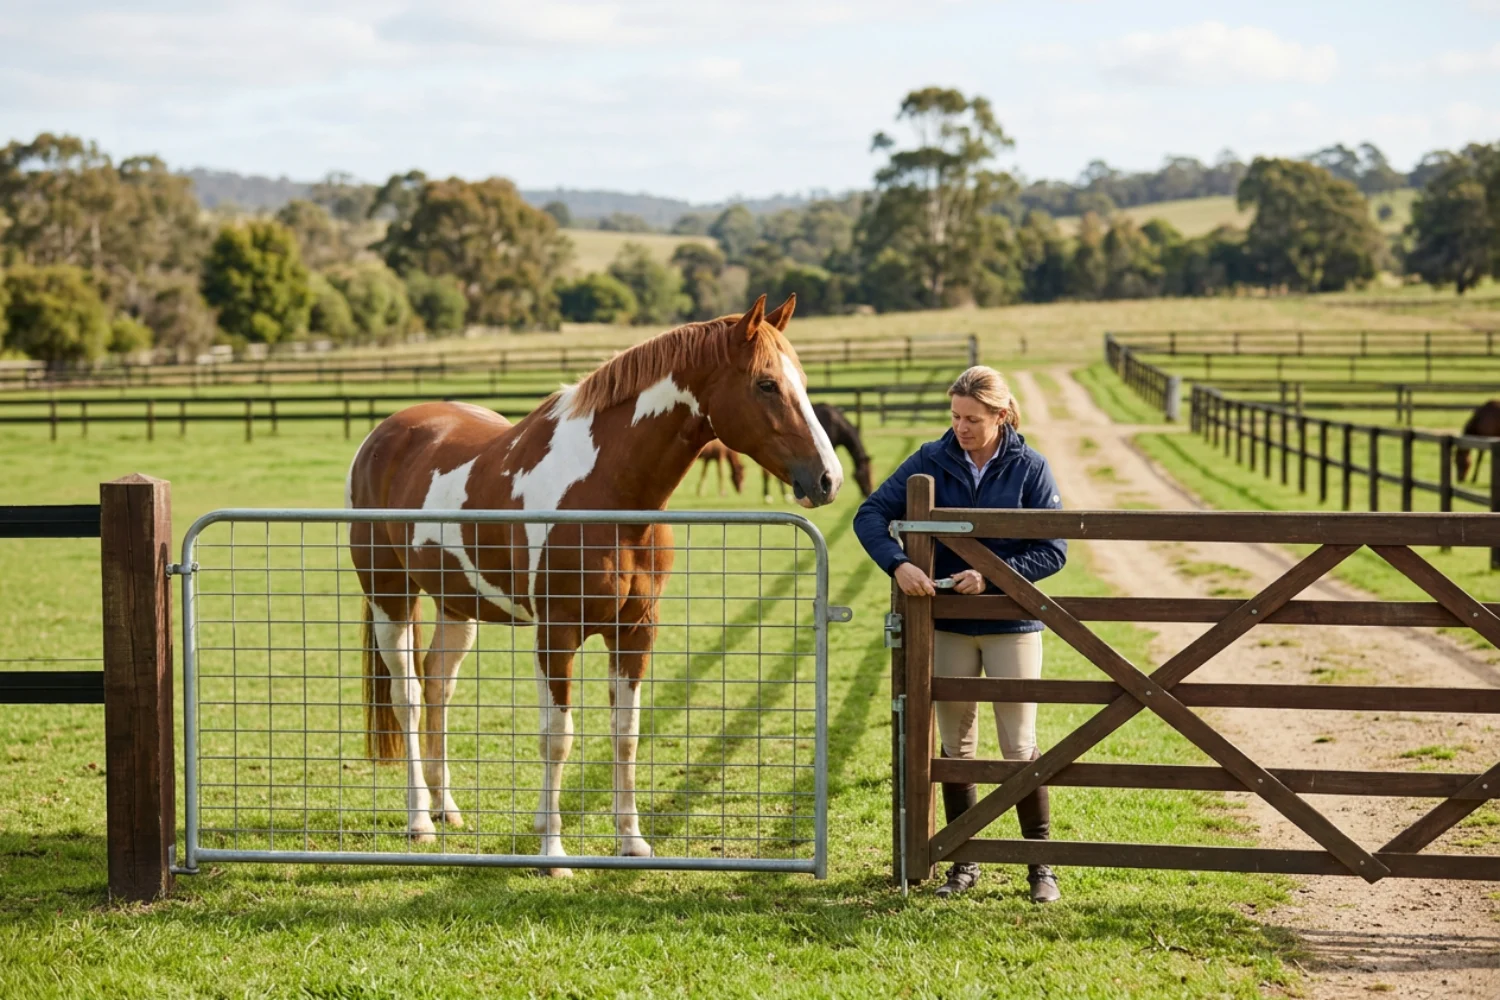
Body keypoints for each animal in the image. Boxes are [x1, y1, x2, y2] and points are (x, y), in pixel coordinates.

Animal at [346, 294, 841, 874]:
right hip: (390, 597)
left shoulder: (635, 632)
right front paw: (552, 851)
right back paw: (420, 819)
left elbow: (625, 736)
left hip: (457, 605)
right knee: (407, 695)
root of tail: (383, 434)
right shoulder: (555, 634)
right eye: (766, 383)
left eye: (800, 380)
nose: (828, 479)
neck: (606, 488)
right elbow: (557, 738)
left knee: (438, 686)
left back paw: (448, 809)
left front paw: (633, 843)